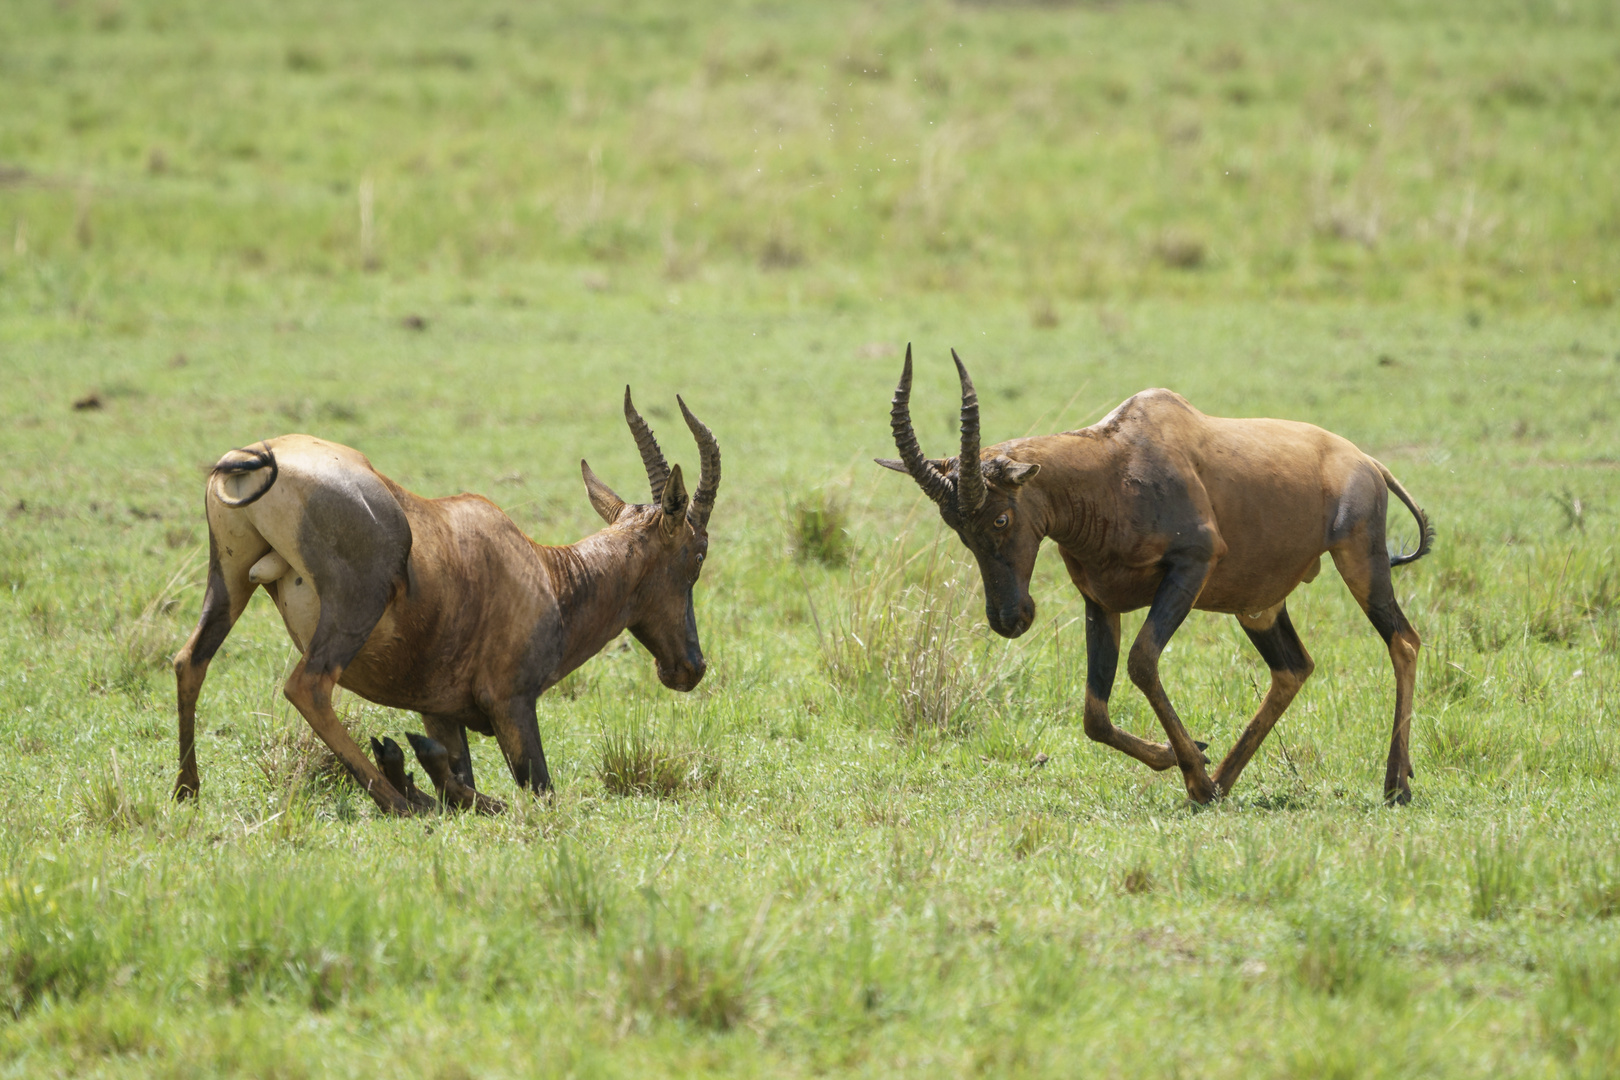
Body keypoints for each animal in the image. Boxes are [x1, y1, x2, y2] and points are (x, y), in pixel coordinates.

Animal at [172, 393, 722, 816]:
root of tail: (257, 458)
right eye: (697, 553)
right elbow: (536, 794)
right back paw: (400, 801)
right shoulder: (512, 704)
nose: (690, 666)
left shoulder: (439, 713)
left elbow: (459, 776)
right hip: (356, 603)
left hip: (228, 581)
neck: (546, 574)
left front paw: (412, 764)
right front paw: (413, 776)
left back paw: (186, 790)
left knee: (190, 660)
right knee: (308, 686)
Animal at [887, 346, 1432, 803]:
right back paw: (1225, 779)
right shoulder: (1099, 602)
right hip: (1257, 604)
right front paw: (1191, 761)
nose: (1009, 619)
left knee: (1403, 642)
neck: (1114, 466)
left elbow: (1142, 662)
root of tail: (1367, 460)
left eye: (1001, 518)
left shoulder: (1191, 567)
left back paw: (1395, 785)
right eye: (956, 526)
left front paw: (1195, 776)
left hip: (1360, 561)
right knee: (1293, 669)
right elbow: (1095, 716)